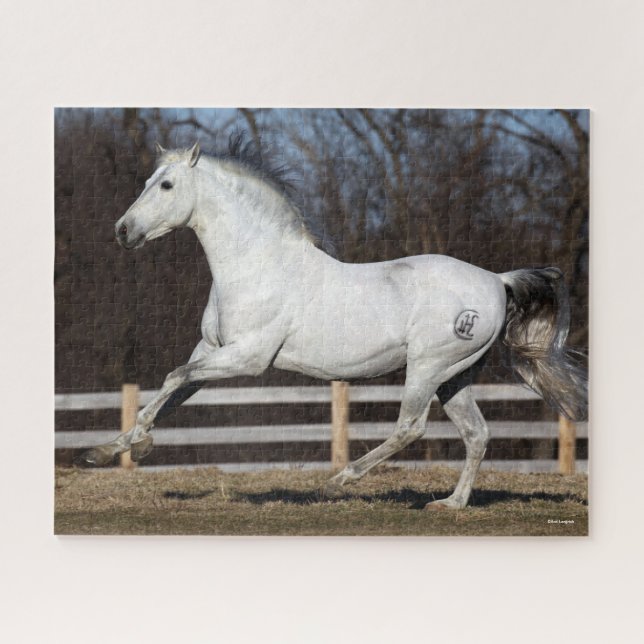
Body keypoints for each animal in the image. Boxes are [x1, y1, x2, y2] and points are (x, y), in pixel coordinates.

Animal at [78, 139, 587, 509]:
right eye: (148, 181)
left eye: (165, 185)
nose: (123, 231)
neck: (258, 267)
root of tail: (497, 281)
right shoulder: (211, 352)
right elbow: (172, 392)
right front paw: (106, 450)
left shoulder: (248, 358)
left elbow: (170, 380)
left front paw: (139, 446)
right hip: (455, 376)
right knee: (476, 434)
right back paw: (450, 505)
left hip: (428, 367)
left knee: (410, 427)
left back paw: (339, 481)